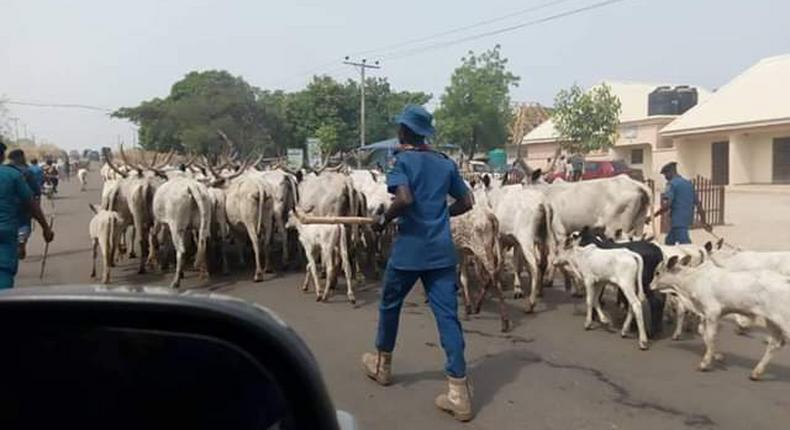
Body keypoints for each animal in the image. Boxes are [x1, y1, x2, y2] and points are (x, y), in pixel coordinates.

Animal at [656, 255, 790, 380]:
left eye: (657, 272)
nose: (651, 286)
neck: (693, 279)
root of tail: (785, 279)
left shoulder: (712, 311)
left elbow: (710, 336)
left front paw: (705, 363)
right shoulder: (708, 314)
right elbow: (704, 333)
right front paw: (717, 356)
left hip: (784, 321)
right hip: (772, 321)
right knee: (774, 344)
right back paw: (756, 372)